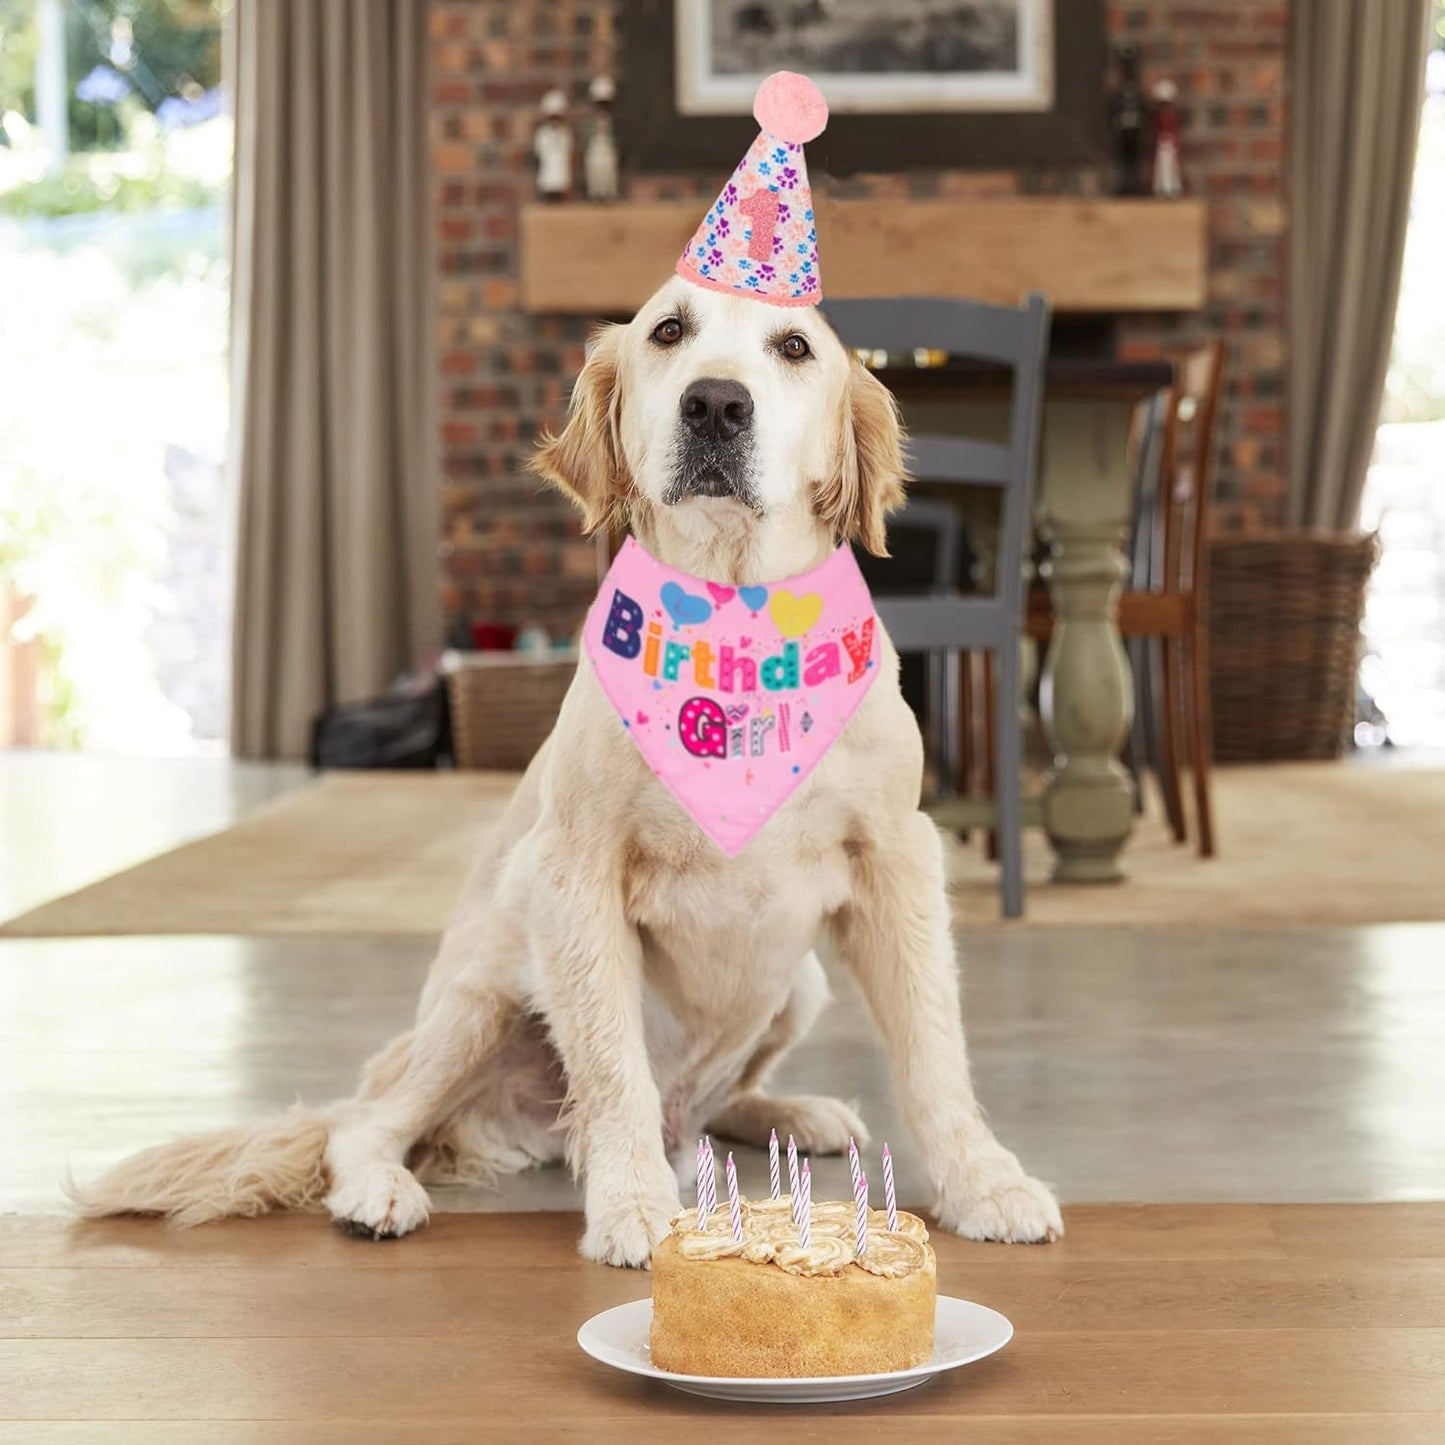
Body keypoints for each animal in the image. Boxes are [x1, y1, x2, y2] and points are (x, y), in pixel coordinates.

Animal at [76, 275, 1063, 1271]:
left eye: (793, 347)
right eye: (668, 331)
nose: (715, 404)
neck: (736, 625)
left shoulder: (895, 858)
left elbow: (933, 1050)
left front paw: (985, 1181)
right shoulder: (575, 873)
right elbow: (611, 1062)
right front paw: (633, 1205)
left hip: (796, 988)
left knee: (713, 1106)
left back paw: (797, 1112)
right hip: (481, 995)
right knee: (365, 1124)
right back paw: (381, 1189)